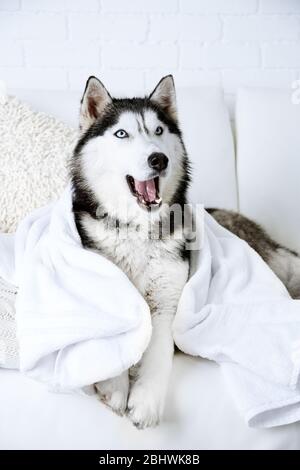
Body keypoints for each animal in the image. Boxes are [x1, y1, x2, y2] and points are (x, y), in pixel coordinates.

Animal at [71, 74, 191, 430]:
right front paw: (115, 385)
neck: (136, 228)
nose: (158, 159)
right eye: (121, 133)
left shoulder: (167, 303)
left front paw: (146, 401)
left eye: (159, 131)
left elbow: (160, 352)